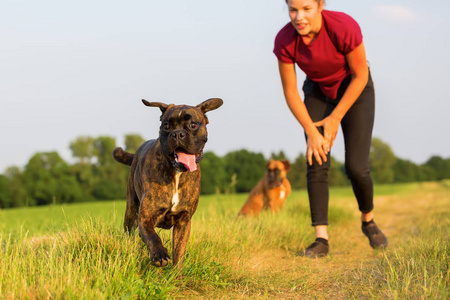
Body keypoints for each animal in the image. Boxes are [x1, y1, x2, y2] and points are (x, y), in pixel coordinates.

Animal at [112, 98, 221, 268]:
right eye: (166, 126)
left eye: (193, 125)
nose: (177, 134)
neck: (177, 173)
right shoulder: (146, 217)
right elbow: (153, 237)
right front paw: (159, 255)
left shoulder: (183, 222)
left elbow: (179, 252)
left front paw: (176, 272)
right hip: (131, 209)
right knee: (130, 232)